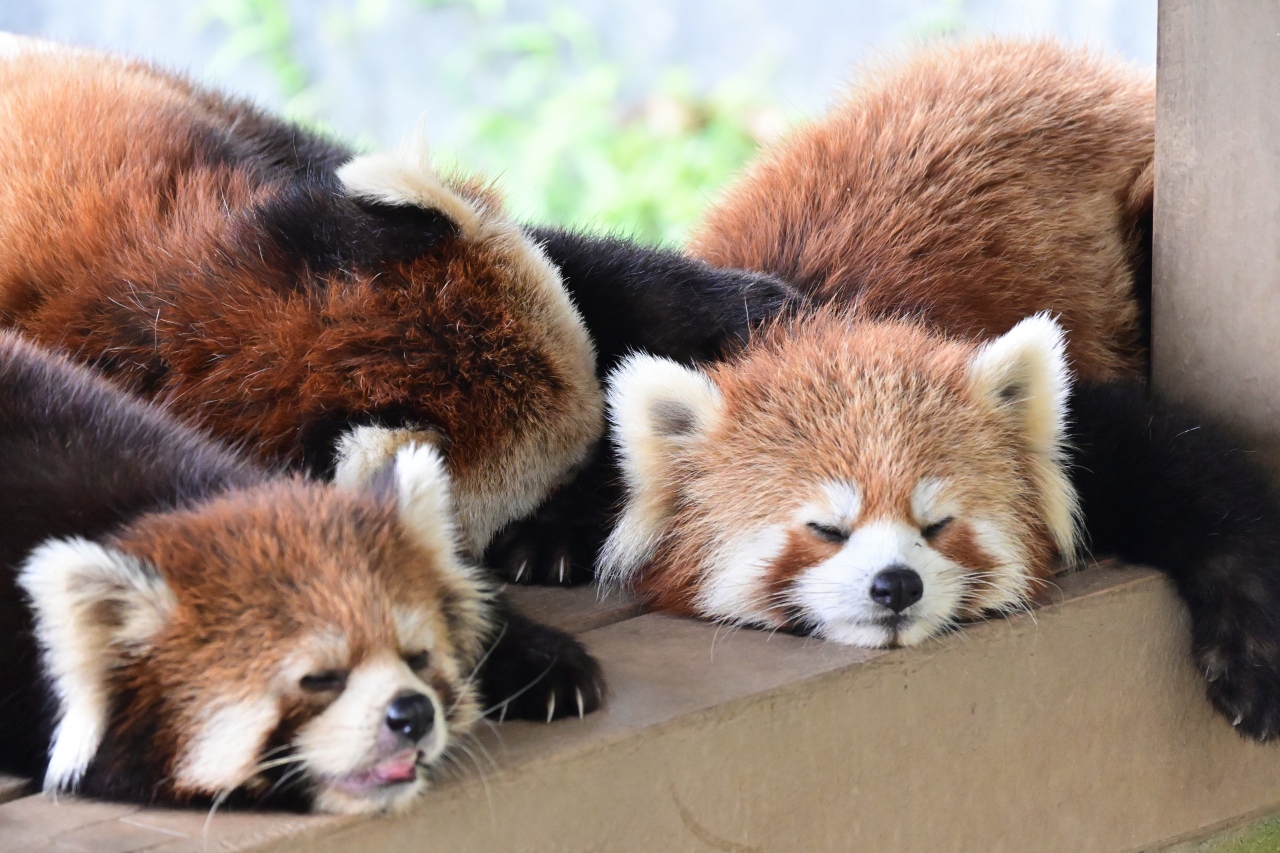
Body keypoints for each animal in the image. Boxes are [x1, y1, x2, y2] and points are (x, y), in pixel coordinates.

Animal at [601, 36, 1280, 732]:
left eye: (938, 524)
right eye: (825, 530)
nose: (896, 584)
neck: (833, 325)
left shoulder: (1072, 422)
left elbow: (1193, 468)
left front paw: (1252, 651)